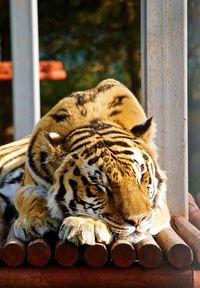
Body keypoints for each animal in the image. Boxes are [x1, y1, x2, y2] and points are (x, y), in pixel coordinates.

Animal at [0, 79, 170, 245]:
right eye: (99, 187)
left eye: (141, 177)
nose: (138, 220)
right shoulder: (27, 185)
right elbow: (31, 198)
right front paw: (35, 222)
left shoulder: (159, 204)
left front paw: (86, 224)